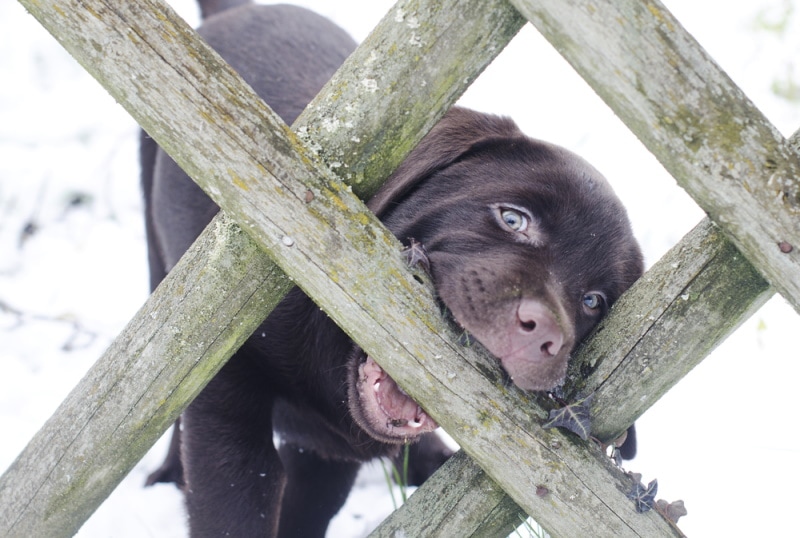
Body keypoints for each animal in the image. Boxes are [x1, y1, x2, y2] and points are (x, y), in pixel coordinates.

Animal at [144, 2, 644, 532]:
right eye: (512, 219)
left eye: (593, 301)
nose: (542, 333)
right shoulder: (228, 397)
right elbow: (233, 505)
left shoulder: (327, 458)